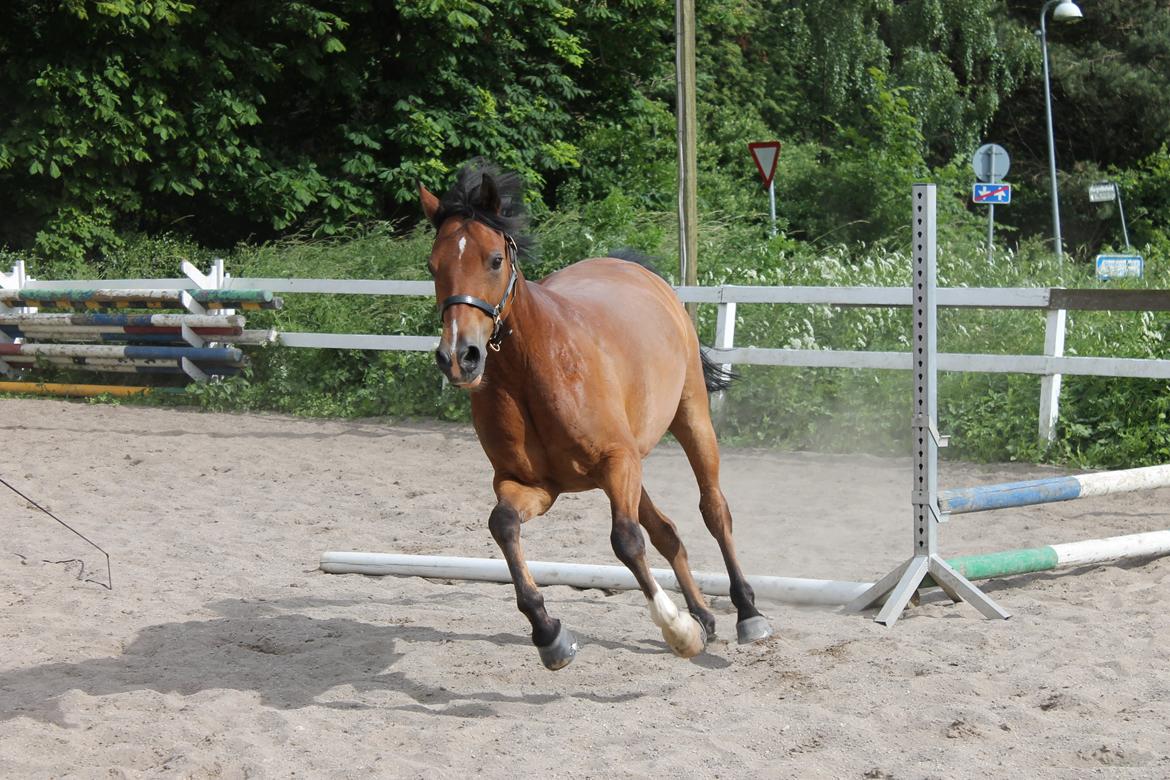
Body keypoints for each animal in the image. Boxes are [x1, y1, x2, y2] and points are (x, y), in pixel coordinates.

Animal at [416, 160, 772, 673]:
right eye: (433, 266)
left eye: (494, 260)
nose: (459, 357)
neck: (533, 369)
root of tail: (633, 269)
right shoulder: (531, 484)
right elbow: (503, 525)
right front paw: (549, 635)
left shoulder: (616, 462)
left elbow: (626, 540)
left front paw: (678, 631)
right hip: (630, 466)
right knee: (666, 530)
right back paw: (704, 615)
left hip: (690, 421)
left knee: (713, 510)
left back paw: (747, 613)